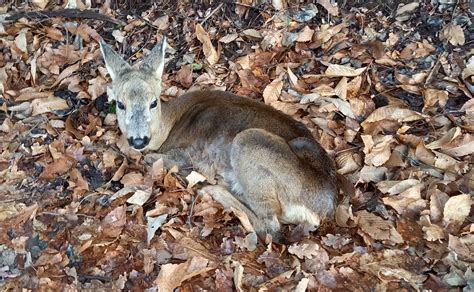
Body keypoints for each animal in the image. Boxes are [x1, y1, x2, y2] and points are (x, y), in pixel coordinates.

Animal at [99, 36, 336, 242]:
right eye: (120, 104)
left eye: (153, 102)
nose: (139, 140)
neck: (169, 125)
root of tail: (325, 206)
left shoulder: (188, 154)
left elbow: (156, 159)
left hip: (249, 142)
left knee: (271, 228)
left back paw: (214, 189)